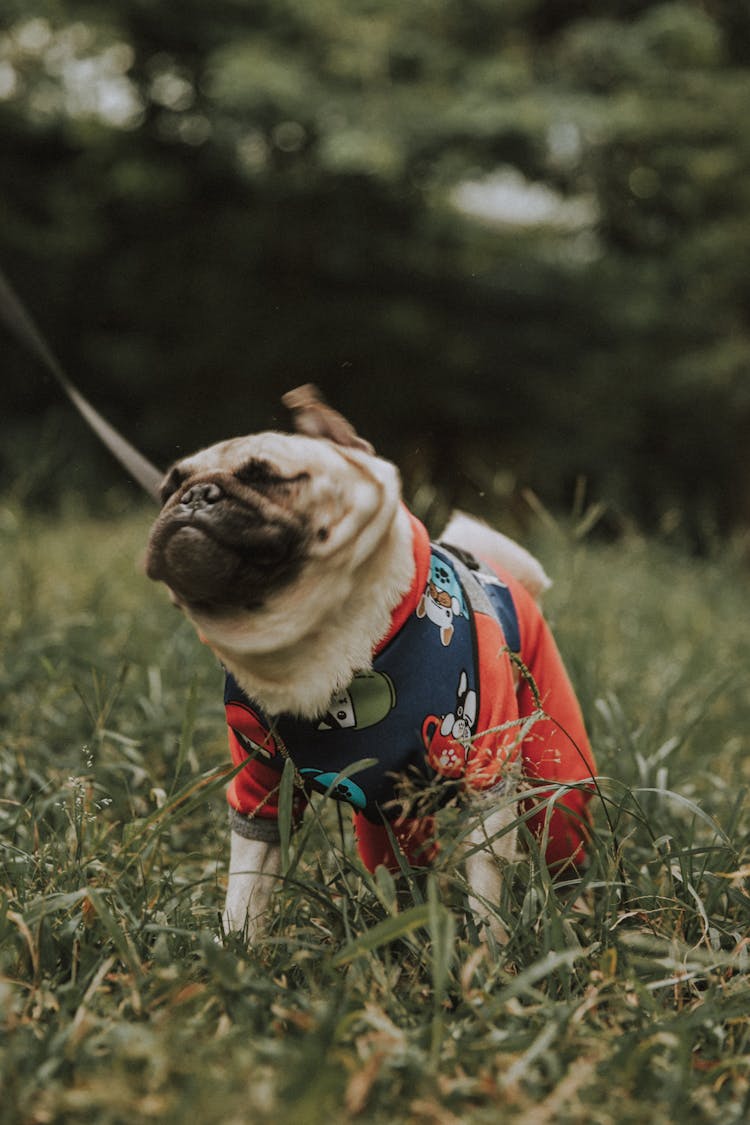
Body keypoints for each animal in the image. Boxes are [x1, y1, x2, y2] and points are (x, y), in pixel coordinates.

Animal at [143, 387, 593, 940]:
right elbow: (247, 886)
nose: (194, 495)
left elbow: (487, 895)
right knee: (400, 868)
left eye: (266, 478)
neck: (309, 641)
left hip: (555, 781)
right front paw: (237, 947)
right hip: (390, 819)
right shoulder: (262, 785)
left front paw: (491, 956)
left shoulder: (487, 781)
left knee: (561, 844)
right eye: (167, 488)